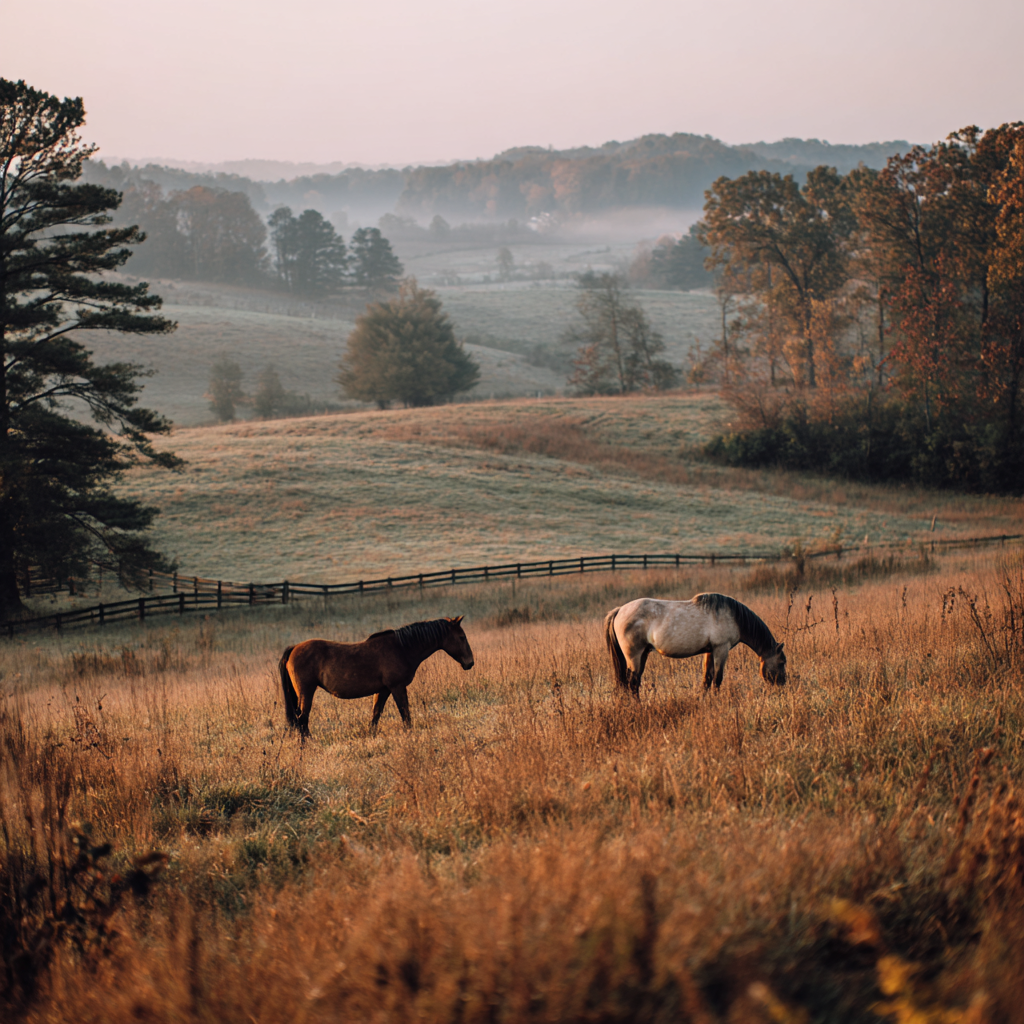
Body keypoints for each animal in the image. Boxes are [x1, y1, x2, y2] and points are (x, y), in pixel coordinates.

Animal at [279, 616, 474, 738]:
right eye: (462, 637)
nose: (470, 663)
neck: (402, 648)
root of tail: (294, 648)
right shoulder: (397, 687)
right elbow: (405, 713)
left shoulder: (384, 690)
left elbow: (376, 713)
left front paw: (371, 735)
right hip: (307, 692)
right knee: (302, 719)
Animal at [604, 593, 786, 697]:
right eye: (782, 662)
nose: (782, 685)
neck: (733, 617)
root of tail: (619, 610)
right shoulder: (721, 649)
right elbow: (717, 679)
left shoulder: (710, 651)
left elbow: (707, 678)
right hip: (634, 656)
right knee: (632, 683)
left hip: (642, 655)